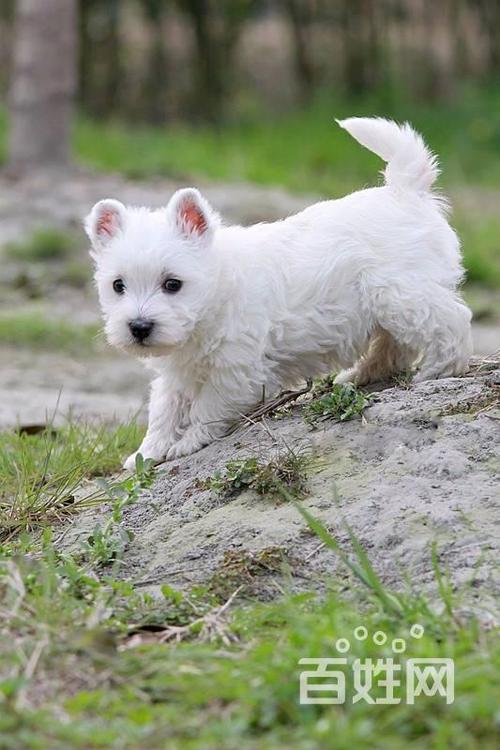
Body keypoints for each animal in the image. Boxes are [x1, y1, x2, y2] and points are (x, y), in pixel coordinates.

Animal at [86, 117, 472, 470]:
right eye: (118, 285)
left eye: (172, 284)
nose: (139, 327)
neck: (217, 293)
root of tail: (405, 191)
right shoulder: (179, 371)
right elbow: (165, 407)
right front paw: (147, 452)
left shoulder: (235, 370)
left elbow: (207, 408)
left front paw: (188, 442)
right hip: (388, 305)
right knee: (395, 346)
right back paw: (360, 375)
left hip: (403, 294)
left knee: (450, 322)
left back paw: (437, 370)